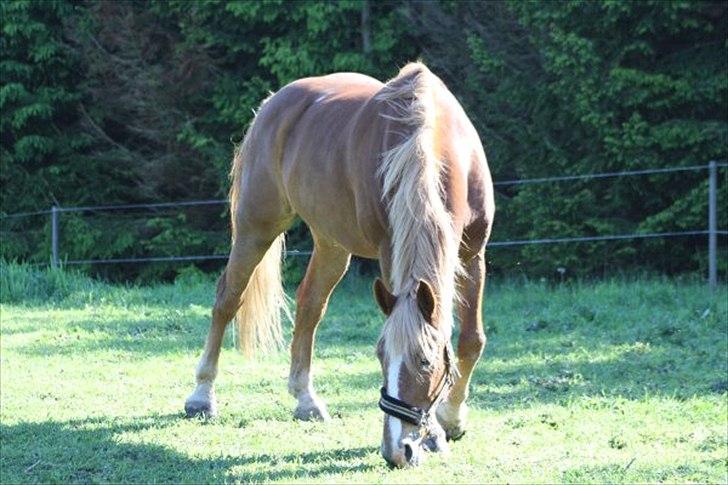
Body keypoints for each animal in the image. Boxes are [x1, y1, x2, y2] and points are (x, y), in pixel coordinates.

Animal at [185, 61, 498, 466]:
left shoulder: (473, 254)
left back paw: (305, 399)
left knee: (309, 305)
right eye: (380, 356)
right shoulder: (390, 254)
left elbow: (471, 340)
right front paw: (437, 432)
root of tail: (273, 104)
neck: (428, 141)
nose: (398, 450)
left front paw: (452, 420)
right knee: (228, 299)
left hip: (331, 244)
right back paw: (201, 396)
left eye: (426, 362)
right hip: (257, 226)